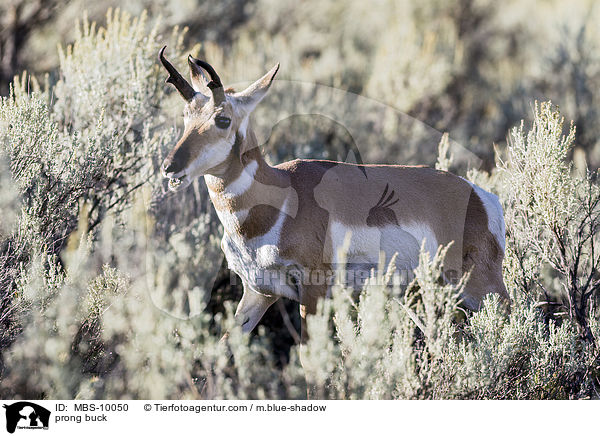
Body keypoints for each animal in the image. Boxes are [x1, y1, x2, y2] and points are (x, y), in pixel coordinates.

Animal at [158, 47, 506, 338]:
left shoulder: (312, 292)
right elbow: (227, 344)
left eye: (223, 119)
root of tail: (480, 195)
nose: (169, 167)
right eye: (186, 117)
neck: (279, 199)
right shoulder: (258, 294)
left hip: (481, 287)